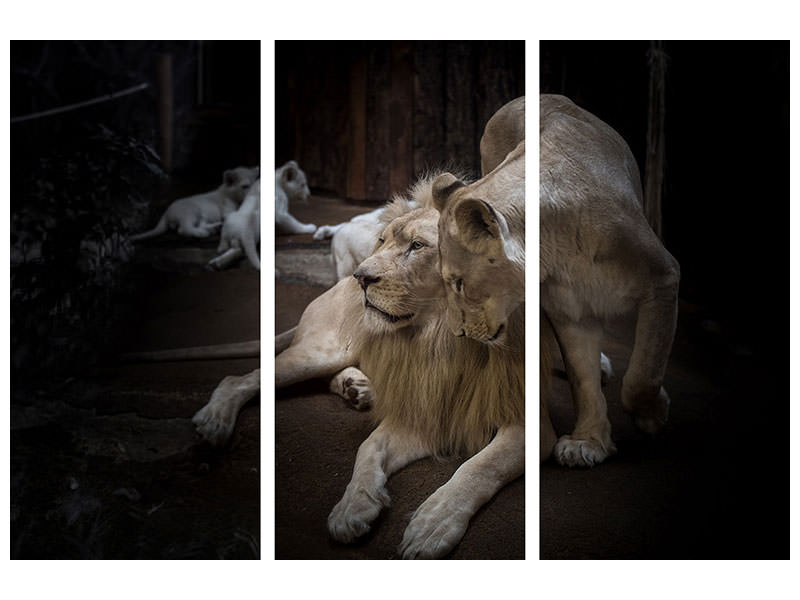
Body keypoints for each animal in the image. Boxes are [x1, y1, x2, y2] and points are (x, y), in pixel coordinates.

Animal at [130, 166, 259, 242]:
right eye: (245, 186)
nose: (257, 193)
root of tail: (166, 213)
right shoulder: (227, 209)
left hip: (201, 216)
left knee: (193, 226)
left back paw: (214, 228)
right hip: (190, 212)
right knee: (183, 229)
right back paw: (202, 233)